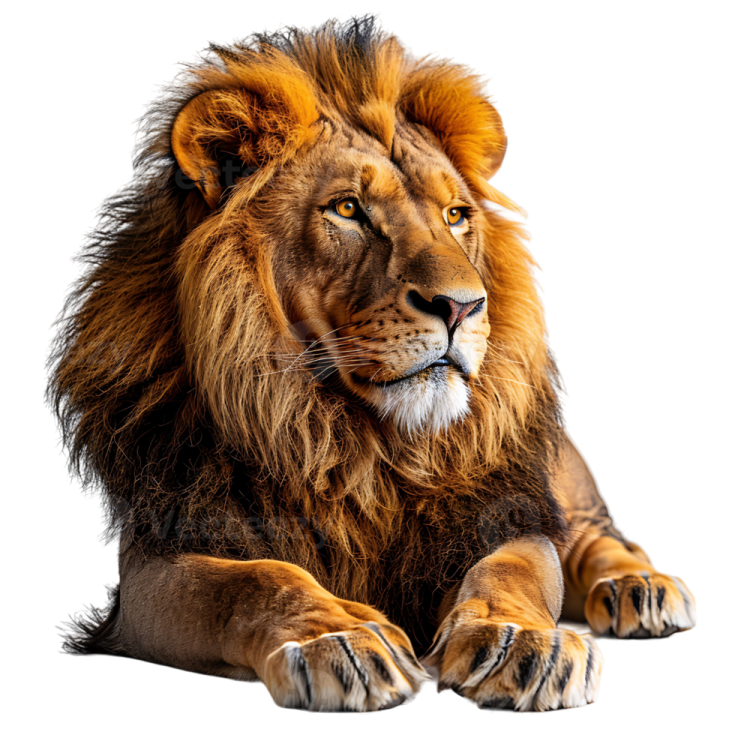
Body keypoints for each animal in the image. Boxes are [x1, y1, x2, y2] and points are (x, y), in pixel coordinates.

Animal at [48, 14, 698, 714]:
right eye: (347, 210)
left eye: (455, 215)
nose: (462, 305)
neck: (359, 443)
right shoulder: (160, 557)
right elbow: (257, 580)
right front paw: (342, 639)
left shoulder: (501, 512)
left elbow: (512, 571)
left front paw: (520, 643)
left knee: (595, 532)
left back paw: (641, 587)